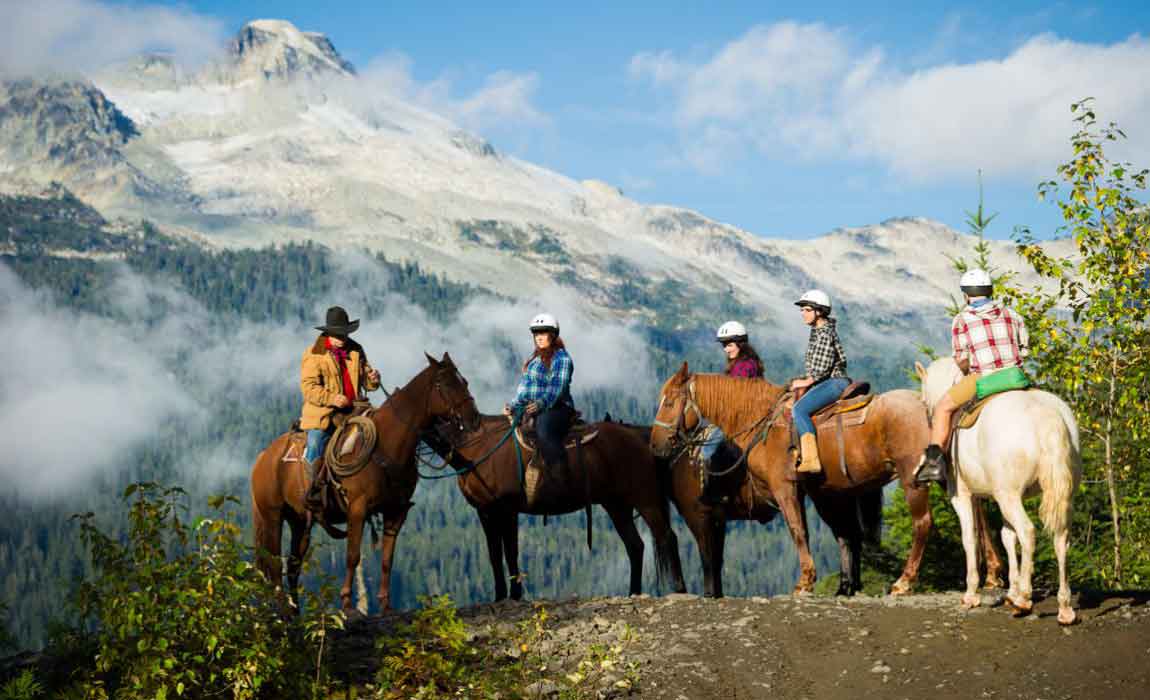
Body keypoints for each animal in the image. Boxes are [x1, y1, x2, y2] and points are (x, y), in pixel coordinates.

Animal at [249, 351, 478, 606]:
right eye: (444, 384)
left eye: (464, 381)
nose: (474, 419)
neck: (388, 443)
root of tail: (264, 456)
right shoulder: (357, 509)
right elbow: (353, 555)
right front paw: (347, 603)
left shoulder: (396, 511)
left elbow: (387, 560)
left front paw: (385, 605)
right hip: (272, 516)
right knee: (273, 564)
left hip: (299, 521)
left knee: (293, 567)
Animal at [423, 413, 685, 602]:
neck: (477, 447)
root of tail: (640, 435)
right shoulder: (486, 511)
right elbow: (495, 554)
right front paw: (500, 596)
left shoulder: (506, 510)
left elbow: (509, 552)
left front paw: (514, 595)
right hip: (617, 506)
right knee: (635, 546)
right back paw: (633, 593)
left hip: (646, 499)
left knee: (667, 537)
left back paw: (680, 590)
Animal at [653, 363, 1002, 597]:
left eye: (669, 401)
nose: (656, 445)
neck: (761, 422)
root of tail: (932, 403)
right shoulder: (816, 493)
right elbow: (832, 534)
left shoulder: (783, 489)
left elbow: (797, 531)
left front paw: (805, 581)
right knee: (978, 514)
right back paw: (993, 575)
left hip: (912, 478)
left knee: (924, 523)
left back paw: (904, 581)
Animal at [915, 358, 1076, 625]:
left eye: (923, 401)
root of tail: (1044, 415)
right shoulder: (1002, 499)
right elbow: (1007, 537)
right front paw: (1011, 589)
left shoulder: (962, 496)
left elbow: (970, 538)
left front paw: (971, 594)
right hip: (1051, 495)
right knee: (1060, 536)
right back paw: (1064, 607)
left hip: (1008, 497)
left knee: (1028, 531)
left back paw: (1024, 600)